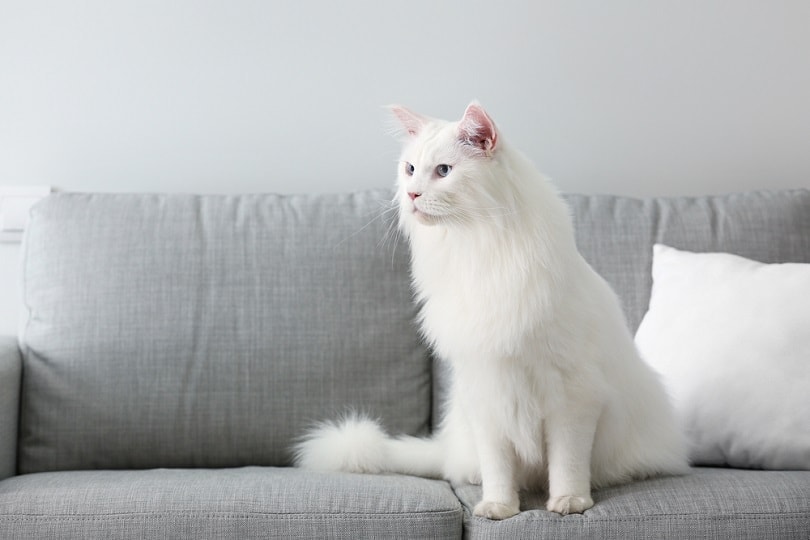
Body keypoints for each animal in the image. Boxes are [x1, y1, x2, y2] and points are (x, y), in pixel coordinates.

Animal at [294, 102, 684, 520]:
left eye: (443, 171)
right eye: (410, 169)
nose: (412, 193)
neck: (475, 248)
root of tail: (445, 446)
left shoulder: (572, 397)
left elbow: (567, 462)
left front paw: (569, 502)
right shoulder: (486, 391)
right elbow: (498, 466)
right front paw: (499, 507)